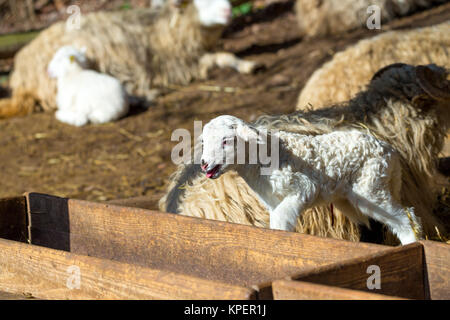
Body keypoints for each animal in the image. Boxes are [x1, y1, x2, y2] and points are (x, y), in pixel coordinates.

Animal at [0, 0, 260, 119]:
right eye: (202, 2)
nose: (228, 12)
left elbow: (225, 55)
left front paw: (249, 64)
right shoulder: (182, 62)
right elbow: (221, 56)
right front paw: (246, 64)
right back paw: (146, 96)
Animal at [200, 115, 422, 245]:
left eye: (226, 141)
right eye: (204, 142)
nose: (204, 164)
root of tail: (390, 151)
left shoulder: (302, 187)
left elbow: (281, 219)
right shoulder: (273, 201)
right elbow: (276, 218)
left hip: (371, 186)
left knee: (404, 217)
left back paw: (413, 243)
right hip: (349, 196)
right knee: (372, 224)